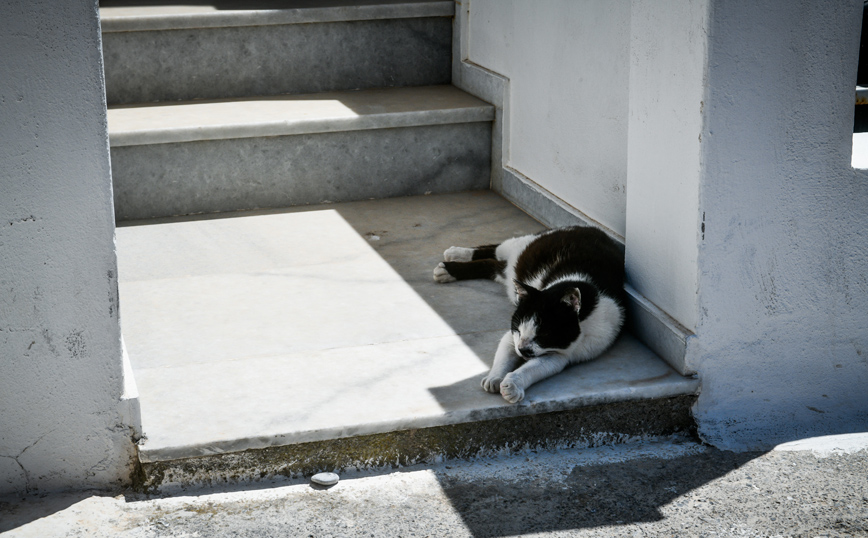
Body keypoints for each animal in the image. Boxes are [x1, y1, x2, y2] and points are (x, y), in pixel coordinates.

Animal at [432, 225, 624, 402]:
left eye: (544, 334)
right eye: (518, 329)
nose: (522, 349)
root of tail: (587, 227)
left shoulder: (559, 354)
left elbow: (534, 367)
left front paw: (513, 384)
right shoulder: (512, 337)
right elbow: (504, 355)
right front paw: (494, 377)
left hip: (509, 271)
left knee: (492, 265)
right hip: (523, 245)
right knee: (497, 248)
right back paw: (453, 257)